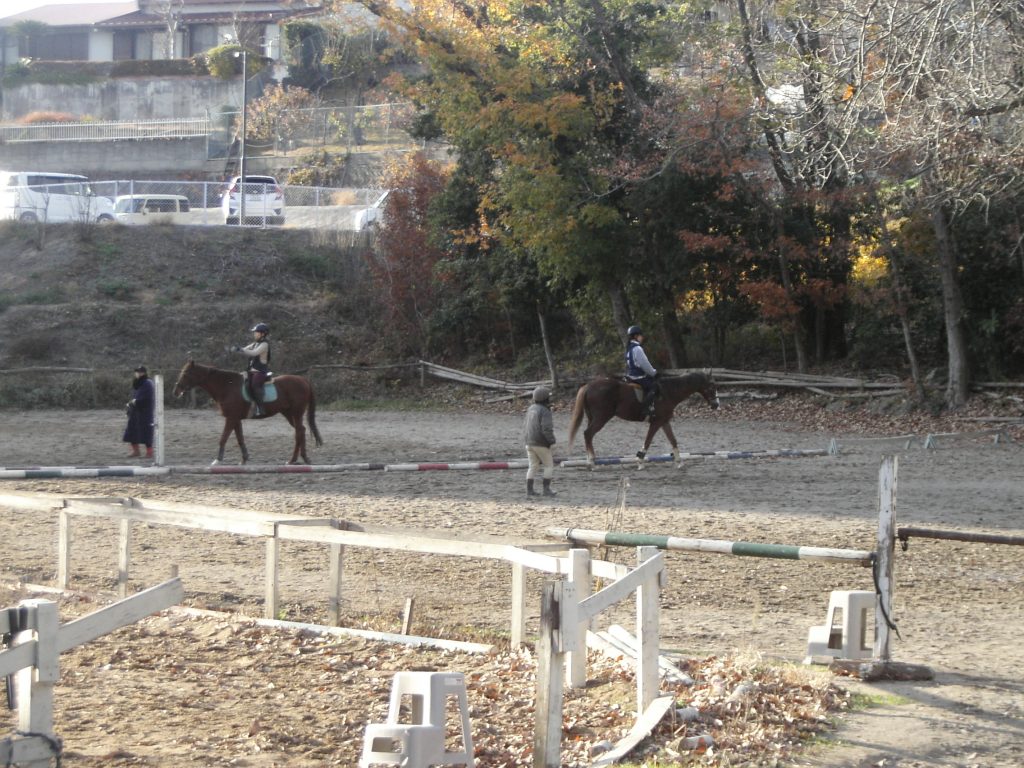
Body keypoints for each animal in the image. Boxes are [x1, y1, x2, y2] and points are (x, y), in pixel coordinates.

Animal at [173, 359, 323, 465]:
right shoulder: (235, 418)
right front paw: (244, 459)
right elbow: (240, 438)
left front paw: (218, 460)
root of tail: (303, 380)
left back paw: (295, 459)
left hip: (296, 412)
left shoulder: (231, 418)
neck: (227, 386)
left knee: (299, 432)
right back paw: (300, 459)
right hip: (288, 413)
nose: (176, 391)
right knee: (301, 430)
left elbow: (223, 438)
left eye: (185, 373)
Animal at [568, 370, 720, 468]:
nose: (716, 405)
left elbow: (673, 440)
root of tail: (588, 386)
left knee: (588, 435)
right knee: (588, 433)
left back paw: (589, 460)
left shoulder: (664, 421)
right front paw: (640, 461)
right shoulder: (656, 422)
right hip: (602, 418)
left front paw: (680, 462)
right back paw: (592, 461)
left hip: (593, 417)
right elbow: (648, 441)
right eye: (712, 386)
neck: (669, 391)